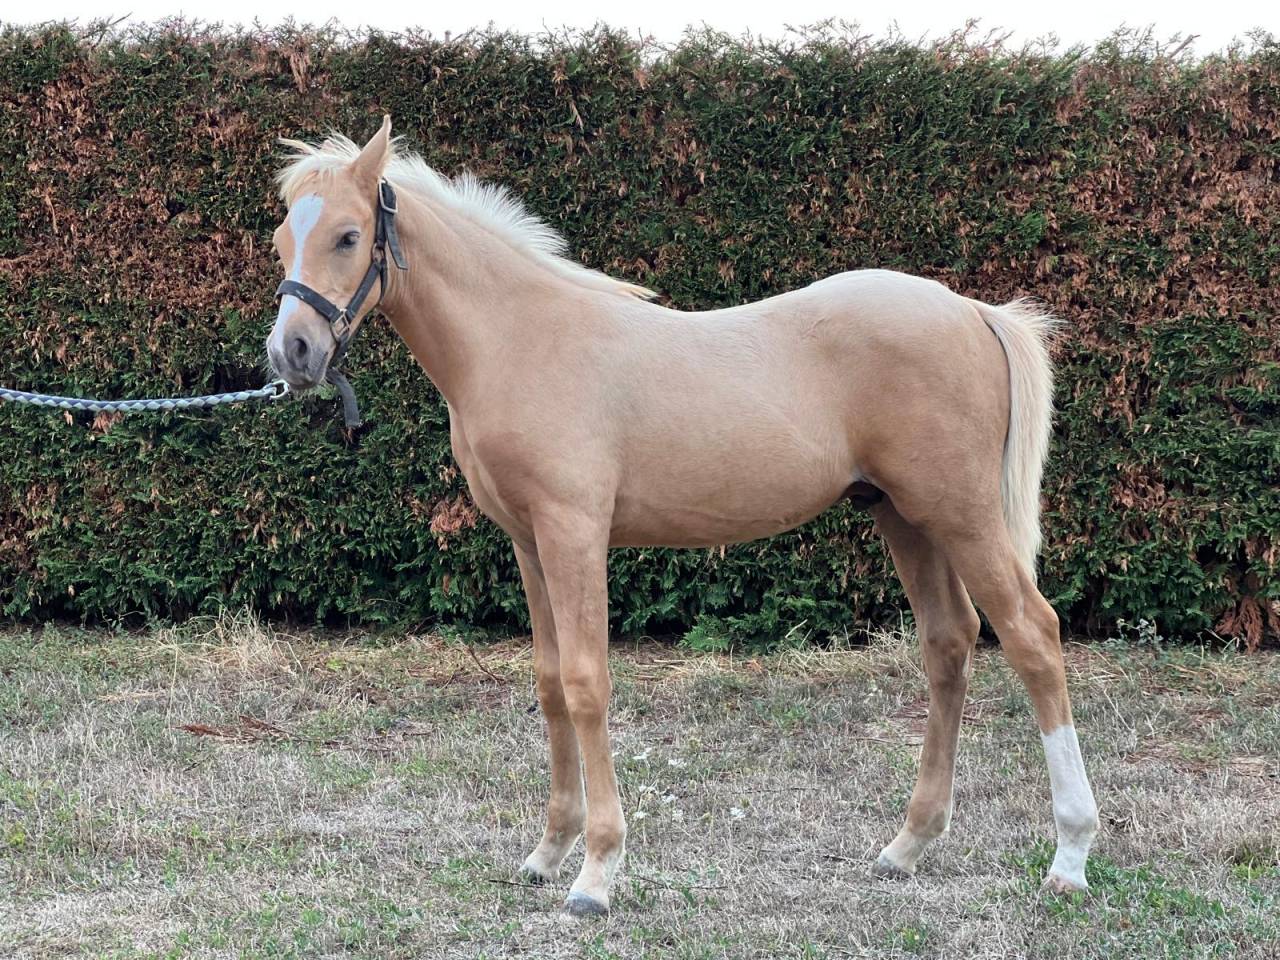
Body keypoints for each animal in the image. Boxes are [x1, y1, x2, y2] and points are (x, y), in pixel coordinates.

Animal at [265, 116, 1099, 917]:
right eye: (281, 239)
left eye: (347, 236)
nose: (291, 353)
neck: (525, 340)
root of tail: (973, 311)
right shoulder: (529, 543)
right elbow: (548, 684)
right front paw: (547, 852)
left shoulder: (574, 533)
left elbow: (586, 682)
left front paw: (595, 874)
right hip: (905, 518)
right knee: (949, 643)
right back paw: (908, 844)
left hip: (962, 515)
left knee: (1032, 634)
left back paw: (1069, 858)